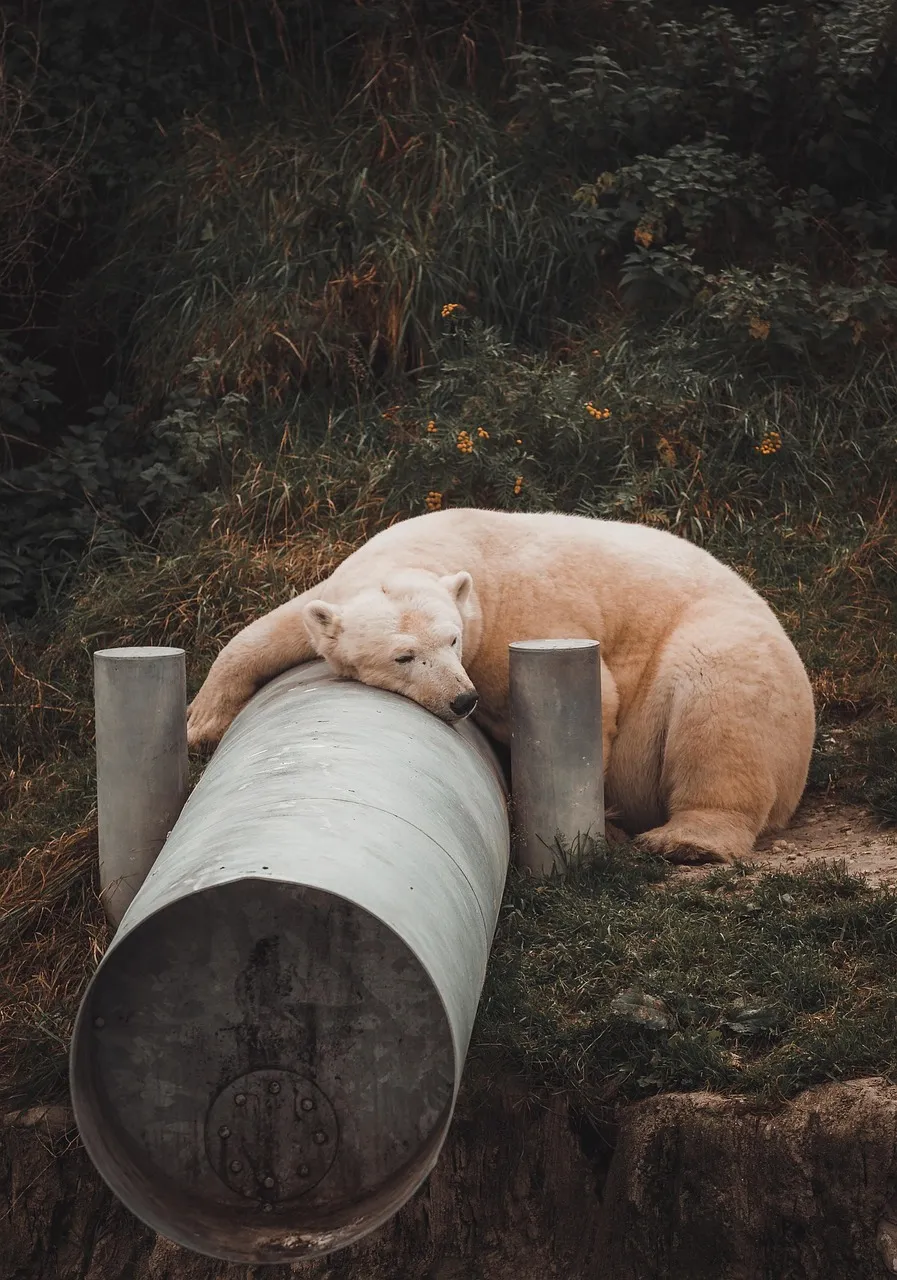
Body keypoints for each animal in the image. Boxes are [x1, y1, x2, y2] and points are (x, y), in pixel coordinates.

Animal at [186, 507, 815, 864]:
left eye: (453, 639)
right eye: (404, 655)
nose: (462, 699)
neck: (455, 551)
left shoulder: (521, 612)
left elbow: (594, 697)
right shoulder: (345, 585)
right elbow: (279, 628)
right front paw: (200, 725)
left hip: (736, 656)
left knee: (721, 709)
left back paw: (685, 841)